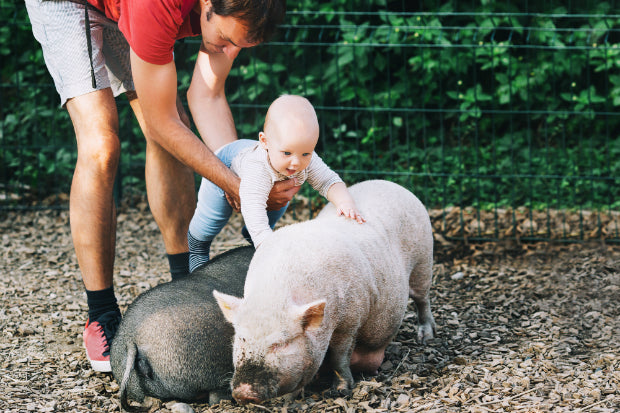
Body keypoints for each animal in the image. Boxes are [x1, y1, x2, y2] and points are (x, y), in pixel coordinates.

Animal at [213, 179, 436, 402]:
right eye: (242, 338)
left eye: (281, 343)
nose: (243, 392)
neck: (275, 293)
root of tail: (391, 184)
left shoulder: (350, 320)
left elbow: (339, 356)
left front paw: (340, 390)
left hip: (424, 260)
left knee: (422, 299)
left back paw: (426, 337)